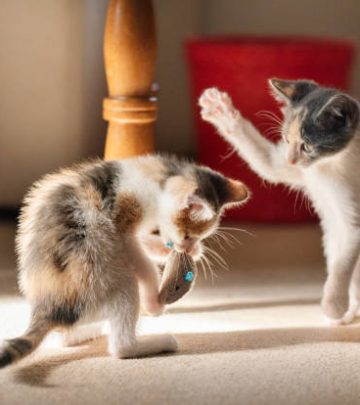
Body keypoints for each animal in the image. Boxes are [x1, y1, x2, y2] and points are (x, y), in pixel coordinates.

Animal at [0, 152, 248, 366]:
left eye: (199, 237)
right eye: (188, 235)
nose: (188, 247)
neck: (155, 177)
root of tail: (47, 309)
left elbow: (148, 241)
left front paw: (178, 250)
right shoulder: (122, 225)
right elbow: (143, 262)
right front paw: (154, 302)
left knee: (66, 336)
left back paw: (89, 333)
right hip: (110, 281)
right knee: (121, 346)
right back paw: (160, 341)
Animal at [200, 79, 360, 324]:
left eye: (307, 145)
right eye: (286, 139)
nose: (291, 159)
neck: (329, 165)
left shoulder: (354, 219)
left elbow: (342, 263)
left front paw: (334, 306)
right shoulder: (299, 171)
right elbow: (268, 165)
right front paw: (221, 110)